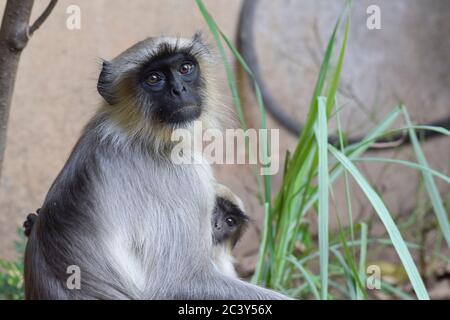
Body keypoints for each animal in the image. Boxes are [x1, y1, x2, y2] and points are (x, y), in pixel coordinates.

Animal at [23, 33, 288, 300]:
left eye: (185, 68)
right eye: (154, 79)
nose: (179, 89)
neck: (135, 135)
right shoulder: (185, 176)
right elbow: (177, 284)